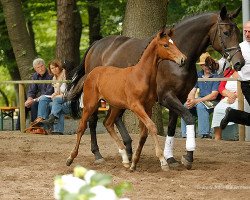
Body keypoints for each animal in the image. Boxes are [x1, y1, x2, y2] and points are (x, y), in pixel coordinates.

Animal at [65, 28, 187, 171]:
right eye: (166, 45)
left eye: (174, 43)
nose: (183, 59)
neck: (141, 76)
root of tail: (90, 73)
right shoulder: (136, 106)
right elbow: (152, 126)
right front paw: (163, 162)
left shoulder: (148, 107)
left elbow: (144, 133)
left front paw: (134, 163)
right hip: (90, 104)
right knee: (83, 126)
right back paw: (71, 158)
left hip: (115, 106)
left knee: (108, 123)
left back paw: (125, 158)